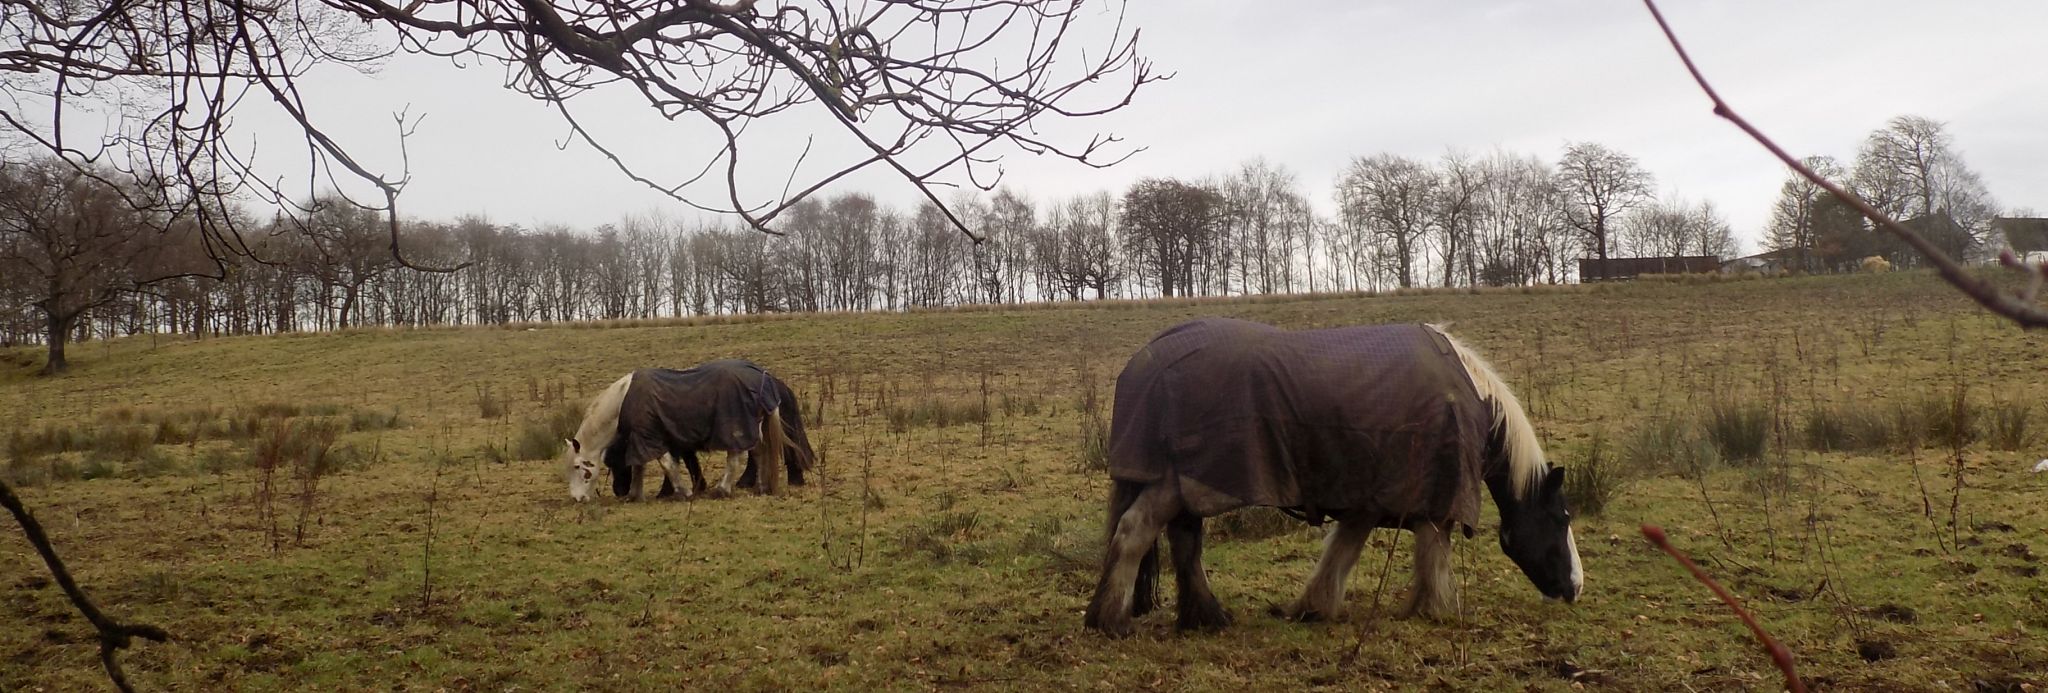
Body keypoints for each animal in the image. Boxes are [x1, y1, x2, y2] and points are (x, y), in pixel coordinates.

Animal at [565, 360, 819, 500]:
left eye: (578, 467)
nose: (577, 498)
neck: (623, 401)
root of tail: (761, 376)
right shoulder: (643, 438)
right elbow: (640, 465)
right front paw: (636, 495)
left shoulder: (651, 437)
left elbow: (667, 465)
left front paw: (683, 492)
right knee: (757, 453)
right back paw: (761, 486)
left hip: (736, 428)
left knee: (736, 456)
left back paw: (723, 489)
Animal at [1089, 315, 1581, 635]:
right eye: (1561, 518)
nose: (1575, 586)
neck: (1470, 397)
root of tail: (1145, 361)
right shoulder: (1434, 500)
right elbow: (1434, 556)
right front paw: (1437, 609)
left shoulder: (1368, 498)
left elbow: (1343, 551)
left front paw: (1314, 606)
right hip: (1177, 484)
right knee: (1134, 534)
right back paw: (1111, 620)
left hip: (1187, 484)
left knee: (1184, 543)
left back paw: (1205, 617)